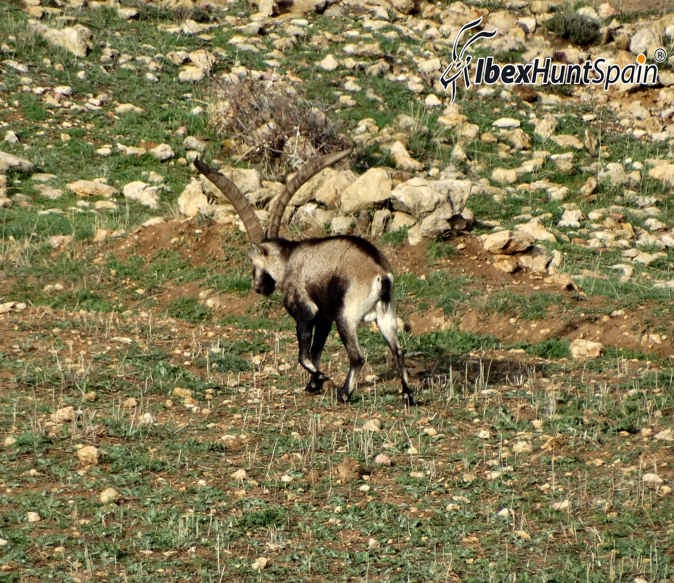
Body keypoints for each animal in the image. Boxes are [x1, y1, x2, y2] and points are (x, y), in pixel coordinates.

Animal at [194, 152, 414, 405]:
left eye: (253, 262)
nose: (259, 288)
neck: (288, 261)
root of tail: (380, 275)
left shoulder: (306, 313)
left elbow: (304, 355)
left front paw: (321, 378)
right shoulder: (324, 318)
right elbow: (316, 351)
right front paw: (313, 384)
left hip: (346, 316)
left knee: (357, 356)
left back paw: (344, 394)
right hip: (386, 315)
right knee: (398, 350)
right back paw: (408, 395)